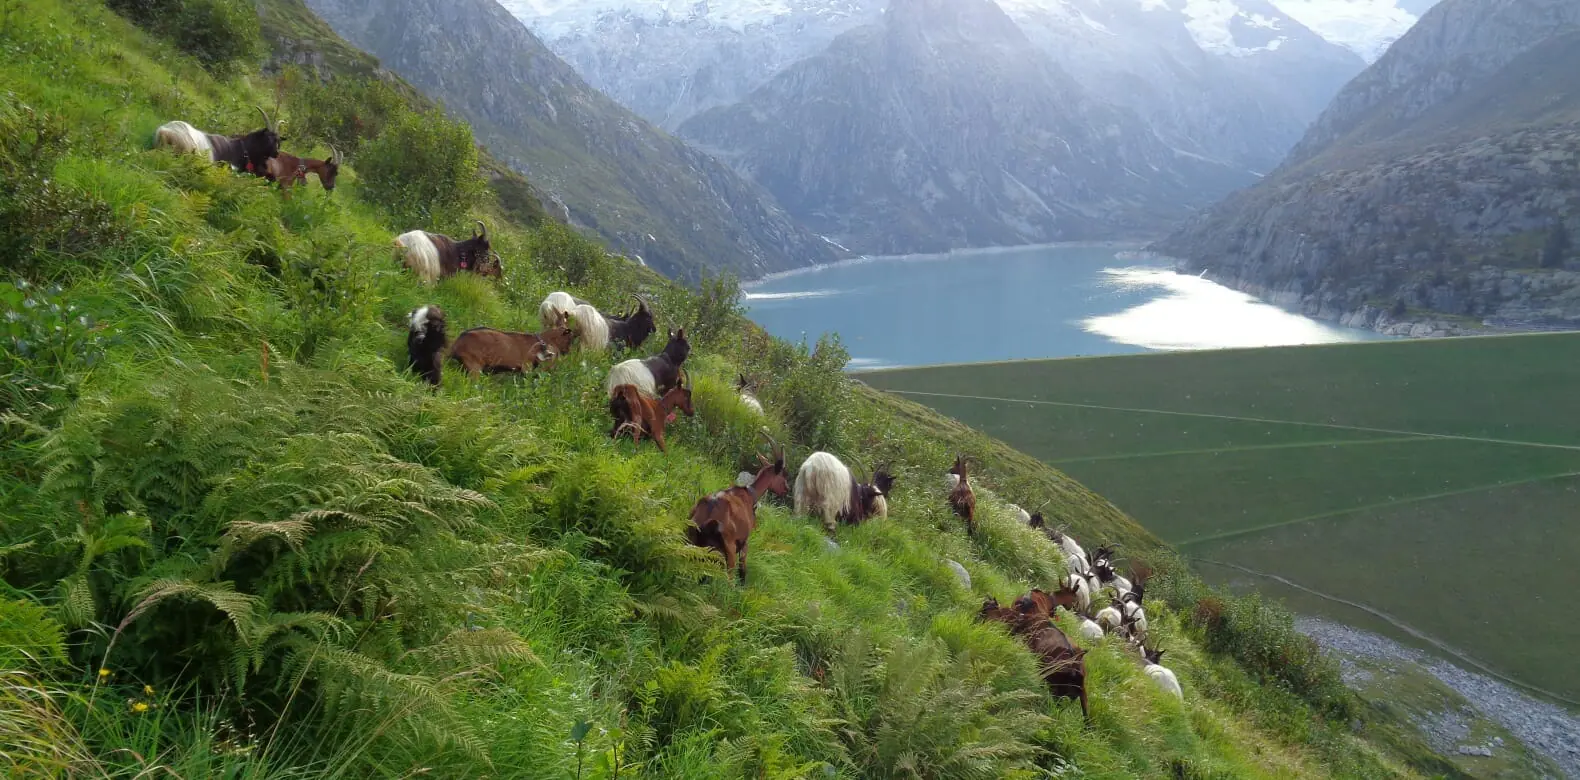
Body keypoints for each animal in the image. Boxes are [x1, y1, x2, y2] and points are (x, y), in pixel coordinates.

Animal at [688, 429, 786, 581]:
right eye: (783, 474)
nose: (787, 489)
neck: (750, 494)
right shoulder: (744, 542)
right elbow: (743, 570)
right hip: (729, 549)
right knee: (728, 578)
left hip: (693, 542)